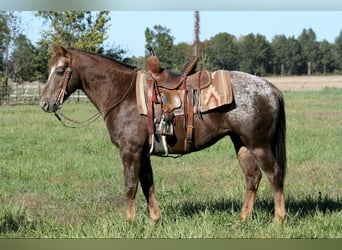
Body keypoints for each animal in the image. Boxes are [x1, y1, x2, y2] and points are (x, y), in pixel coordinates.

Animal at [39, 46, 286, 224]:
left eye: (59, 72)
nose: (44, 103)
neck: (123, 94)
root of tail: (270, 88)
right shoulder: (143, 152)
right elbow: (147, 184)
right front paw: (154, 221)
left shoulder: (130, 151)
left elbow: (130, 185)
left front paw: (129, 223)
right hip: (242, 144)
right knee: (253, 177)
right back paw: (242, 219)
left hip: (259, 145)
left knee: (274, 175)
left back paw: (278, 220)